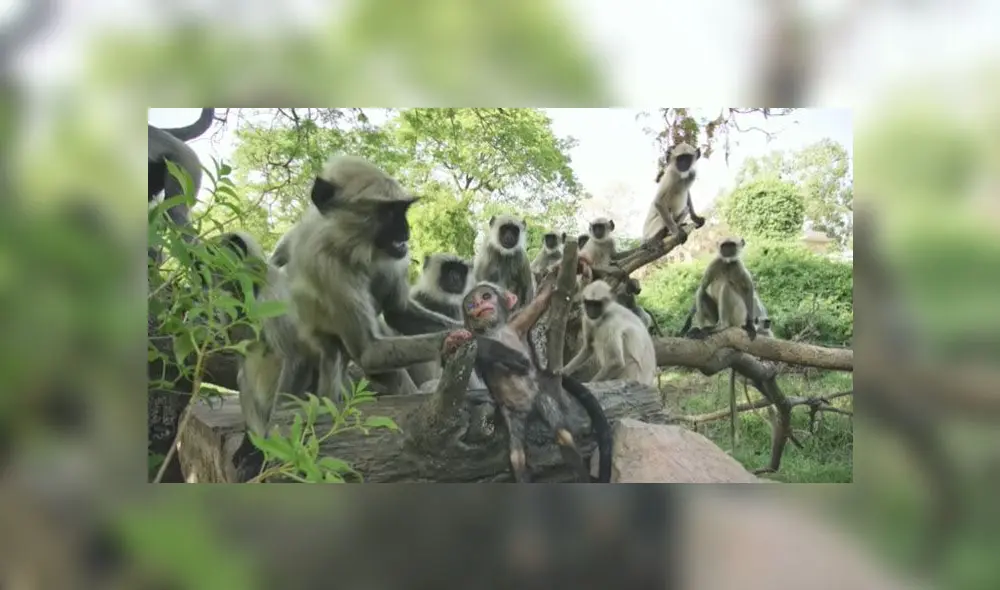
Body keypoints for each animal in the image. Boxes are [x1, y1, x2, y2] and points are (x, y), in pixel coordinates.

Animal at [283, 154, 463, 408]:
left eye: (402, 210)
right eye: (388, 213)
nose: (406, 232)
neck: (350, 246)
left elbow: (398, 312)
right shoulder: (329, 267)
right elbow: (369, 352)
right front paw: (460, 337)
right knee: (332, 352)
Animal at [444, 280, 613, 483]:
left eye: (485, 296)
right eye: (470, 304)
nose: (478, 305)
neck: (495, 332)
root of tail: (528, 409)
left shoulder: (517, 323)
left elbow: (538, 304)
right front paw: (455, 339)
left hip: (540, 396)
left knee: (563, 435)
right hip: (513, 414)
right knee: (516, 457)